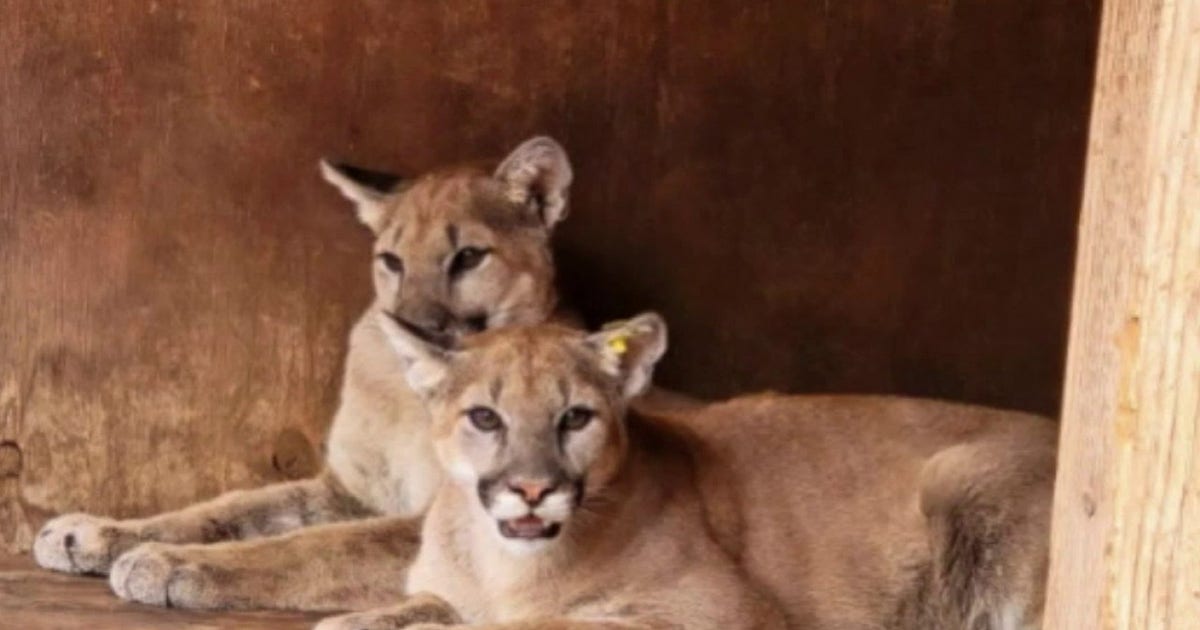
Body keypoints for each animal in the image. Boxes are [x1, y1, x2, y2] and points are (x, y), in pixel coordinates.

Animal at [33, 136, 577, 611]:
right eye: (391, 261)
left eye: (468, 257)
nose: (412, 326)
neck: (411, 397)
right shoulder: (352, 490)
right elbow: (233, 506)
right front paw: (97, 532)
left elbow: (317, 545)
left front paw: (171, 562)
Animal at [313, 313, 1055, 630]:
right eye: (485, 418)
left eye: (575, 417)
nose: (531, 488)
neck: (503, 568)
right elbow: (412, 607)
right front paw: (364, 622)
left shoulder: (718, 611)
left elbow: (543, 625)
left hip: (961, 476)